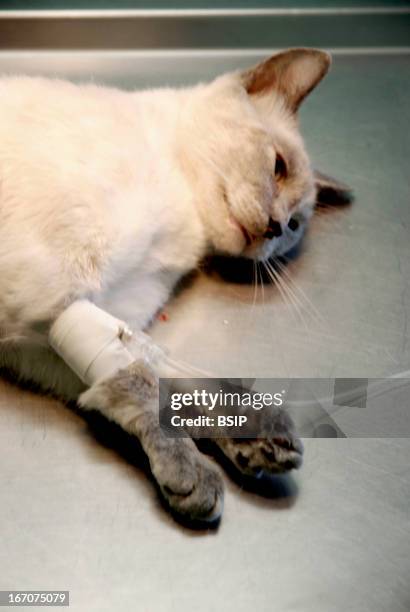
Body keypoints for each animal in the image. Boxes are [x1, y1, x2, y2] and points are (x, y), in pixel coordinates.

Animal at [0, 49, 352, 524]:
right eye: (278, 168)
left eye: (295, 226)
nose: (275, 227)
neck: (187, 231)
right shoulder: (49, 293)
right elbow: (145, 383)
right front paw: (190, 471)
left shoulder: (48, 333)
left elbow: (171, 377)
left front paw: (250, 431)